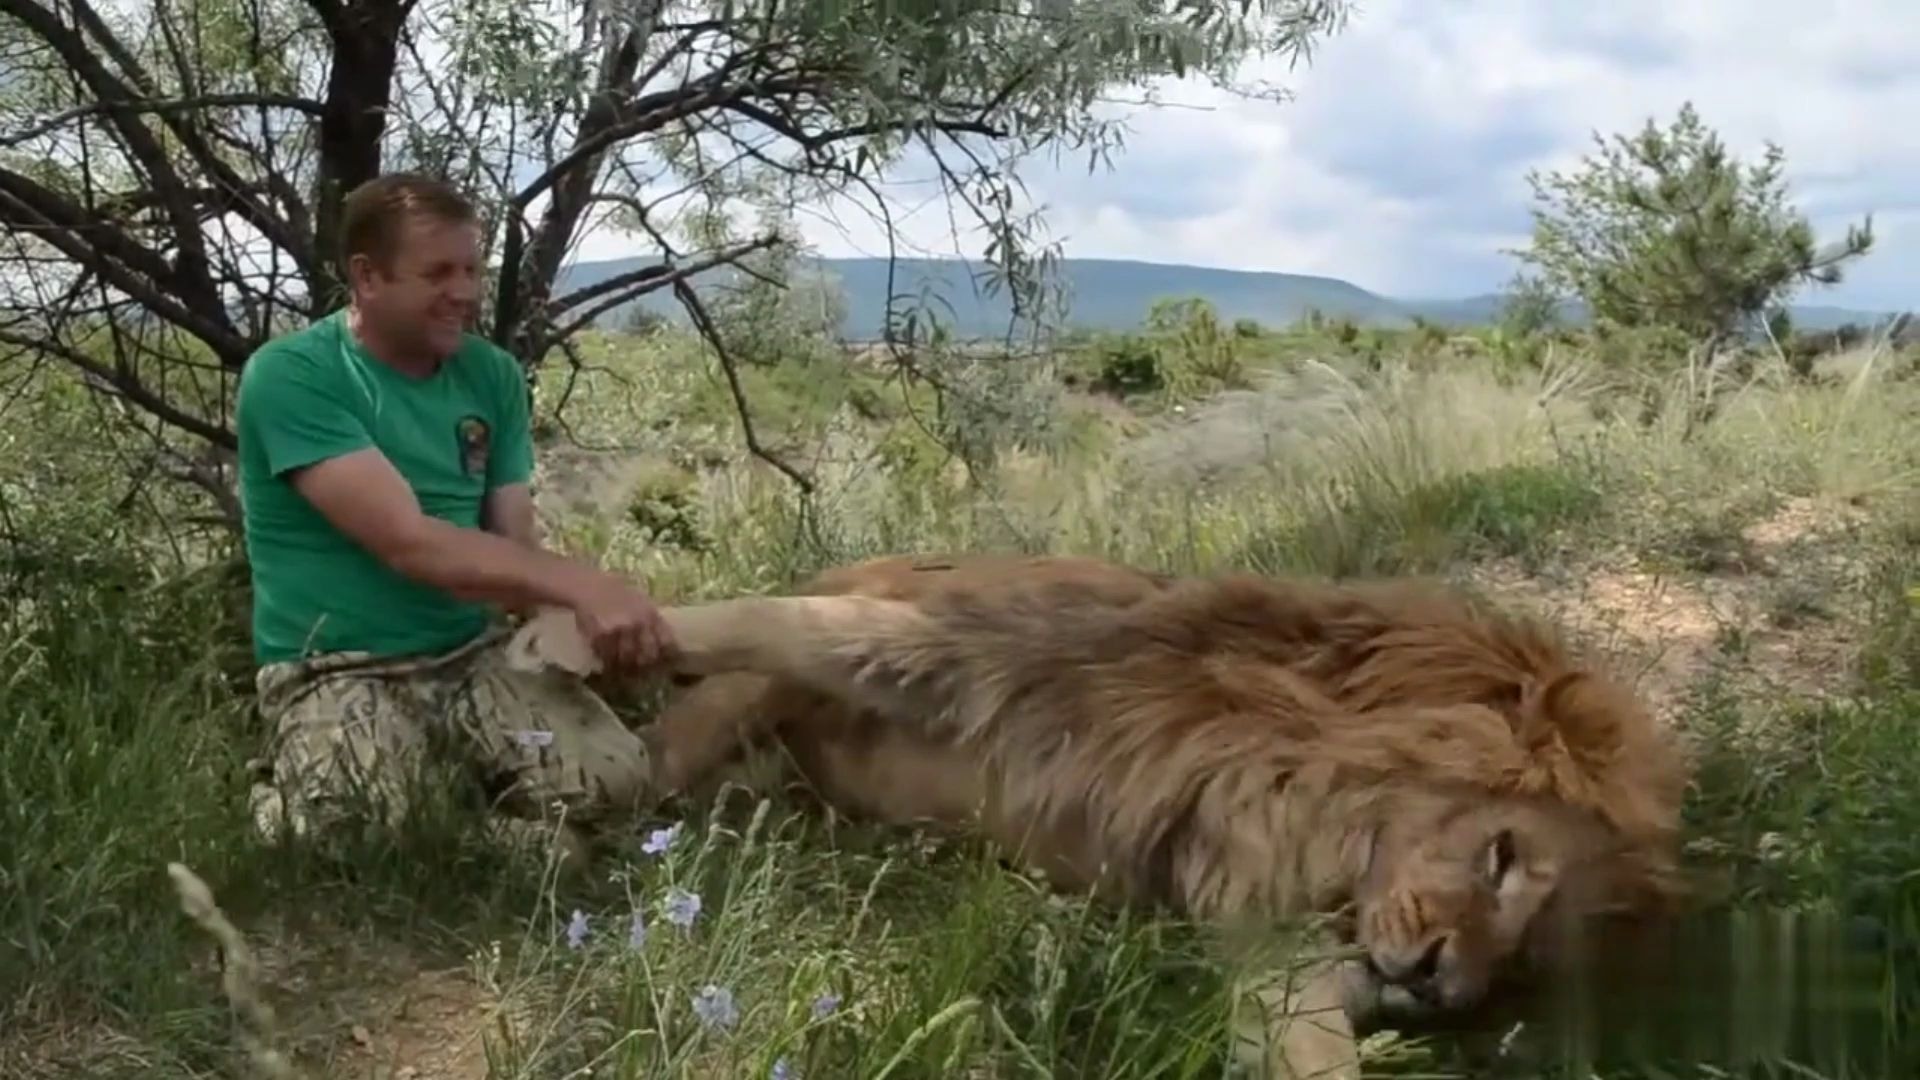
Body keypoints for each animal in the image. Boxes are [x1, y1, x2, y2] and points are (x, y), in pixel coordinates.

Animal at [503, 549, 1689, 1068]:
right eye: (1501, 856)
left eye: (1524, 960)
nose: (1445, 989)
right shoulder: (983, 654)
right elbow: (784, 622)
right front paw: (561, 633)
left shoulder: (1265, 929)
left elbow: (1309, 1044)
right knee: (651, 764)